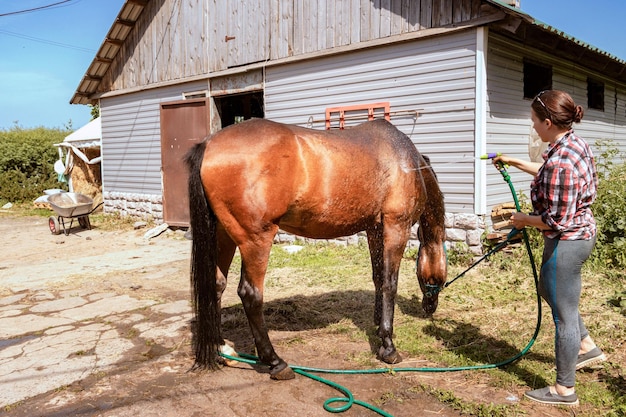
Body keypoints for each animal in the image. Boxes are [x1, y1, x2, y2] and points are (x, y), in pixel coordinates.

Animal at [183, 118, 446, 378]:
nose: (429, 307)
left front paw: (377, 325)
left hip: (223, 235)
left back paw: (222, 349)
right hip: (255, 240)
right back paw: (276, 362)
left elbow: (378, 279)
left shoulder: (375, 229)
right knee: (250, 294)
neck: (407, 162)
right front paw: (388, 347)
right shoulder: (396, 225)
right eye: (441, 277)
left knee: (216, 285)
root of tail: (208, 145)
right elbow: (390, 283)